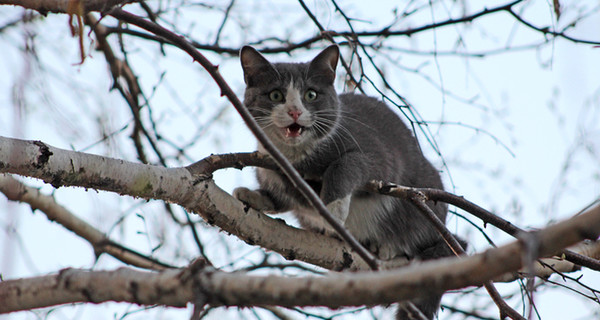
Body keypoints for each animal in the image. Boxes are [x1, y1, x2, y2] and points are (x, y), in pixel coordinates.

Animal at [234, 45, 454, 320]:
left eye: (310, 94)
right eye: (275, 95)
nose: (295, 111)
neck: (296, 159)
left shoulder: (377, 154)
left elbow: (346, 165)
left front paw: (333, 210)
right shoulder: (269, 166)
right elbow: (281, 196)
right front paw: (251, 195)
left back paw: (387, 247)